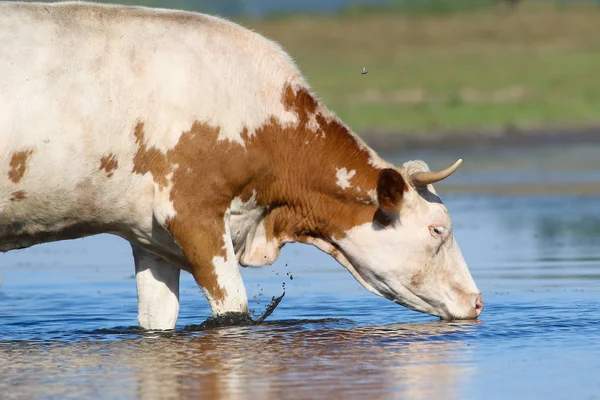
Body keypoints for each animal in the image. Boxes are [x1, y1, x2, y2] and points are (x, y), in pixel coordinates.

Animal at [0, 1, 482, 330]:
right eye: (438, 229)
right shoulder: (191, 213)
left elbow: (158, 319)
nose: (478, 301)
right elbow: (234, 311)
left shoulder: (149, 236)